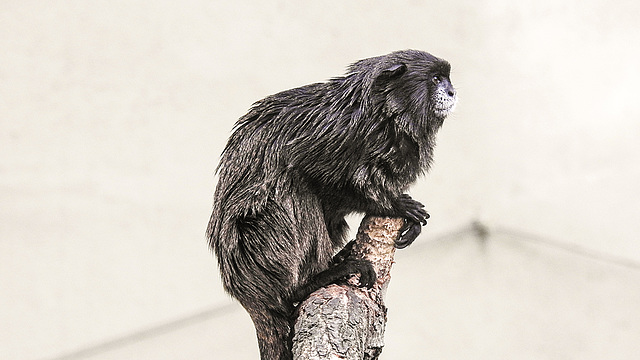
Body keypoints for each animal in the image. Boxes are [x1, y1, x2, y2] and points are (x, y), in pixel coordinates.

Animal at [205, 50, 456, 360]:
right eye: (436, 79)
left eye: (447, 79)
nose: (451, 91)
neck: (384, 115)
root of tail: (246, 291)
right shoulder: (336, 134)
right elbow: (314, 175)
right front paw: (394, 205)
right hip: (260, 247)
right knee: (294, 189)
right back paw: (312, 281)